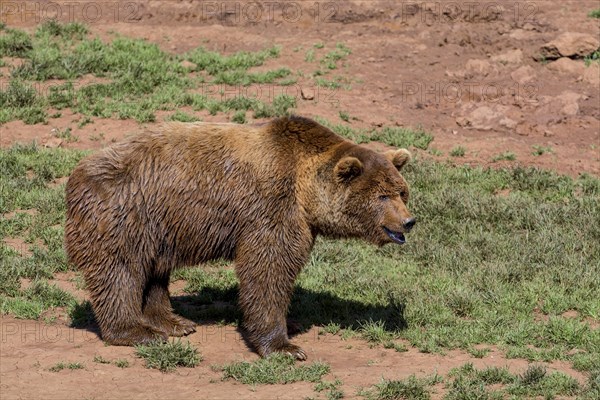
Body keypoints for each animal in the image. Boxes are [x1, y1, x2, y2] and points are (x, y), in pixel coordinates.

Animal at [64, 115, 412, 360]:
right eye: (382, 196)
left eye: (401, 191)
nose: (408, 221)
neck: (305, 192)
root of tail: (75, 174)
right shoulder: (272, 210)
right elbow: (267, 270)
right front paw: (285, 347)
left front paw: (292, 323)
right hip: (125, 211)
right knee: (120, 271)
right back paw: (136, 331)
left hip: (158, 226)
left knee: (154, 272)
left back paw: (174, 322)